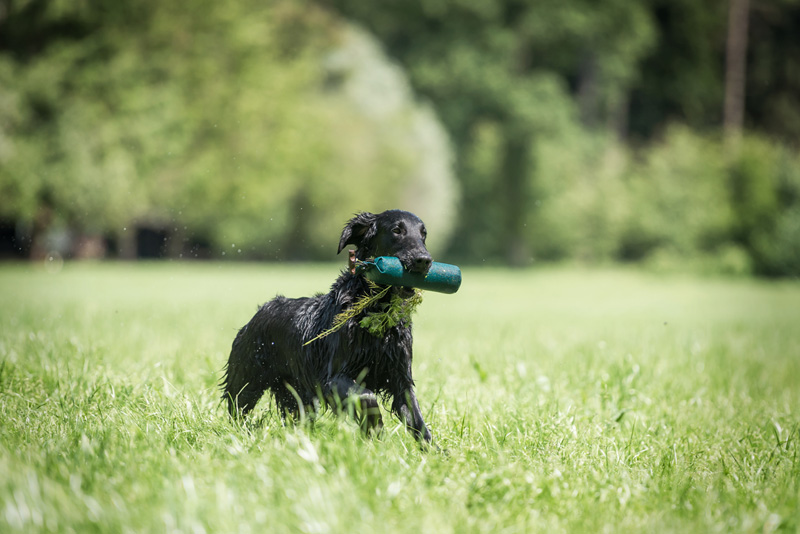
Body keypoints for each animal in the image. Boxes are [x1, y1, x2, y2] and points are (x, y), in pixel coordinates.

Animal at [221, 210, 434, 443]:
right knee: (237, 408)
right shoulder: (331, 379)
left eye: (423, 234)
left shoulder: (400, 377)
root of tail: (261, 310)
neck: (375, 311)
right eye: (397, 230)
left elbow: (417, 419)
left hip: (297, 397)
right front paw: (375, 431)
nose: (424, 260)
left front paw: (435, 451)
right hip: (247, 380)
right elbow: (367, 396)